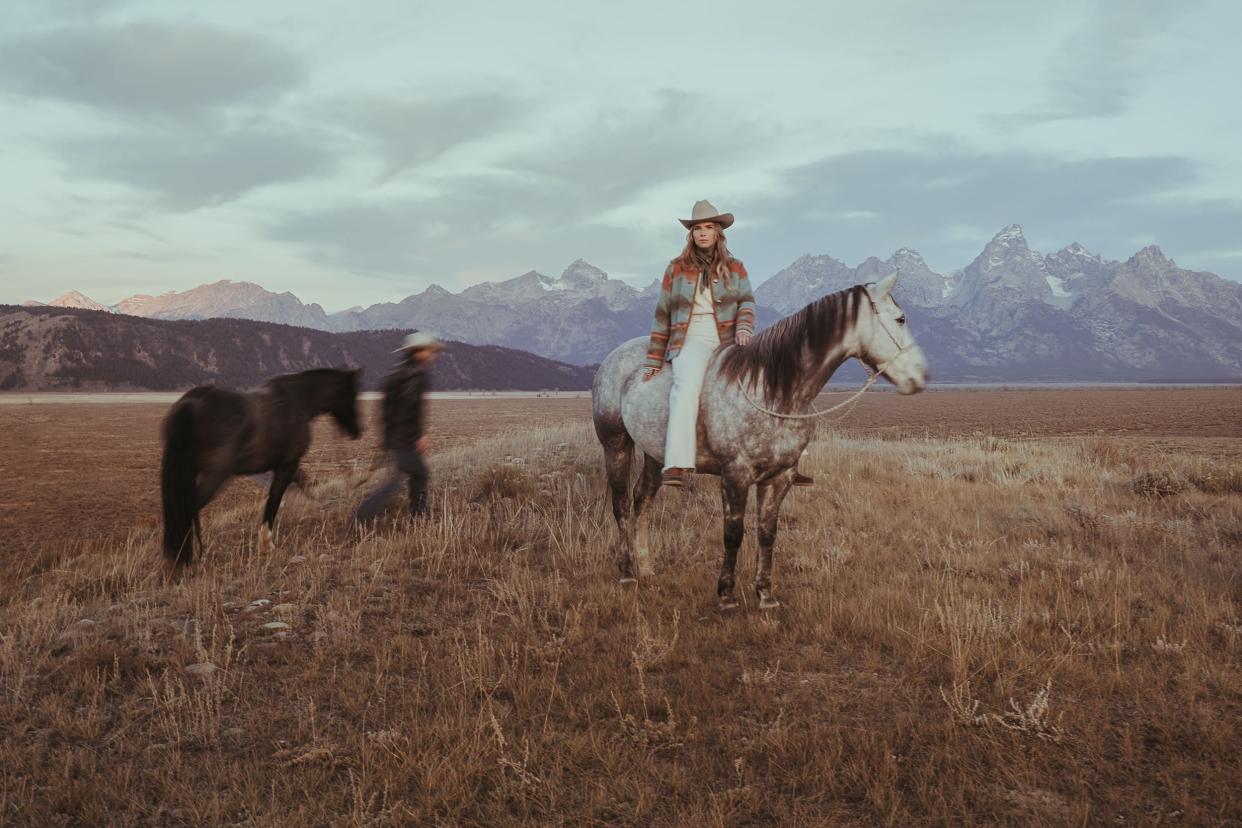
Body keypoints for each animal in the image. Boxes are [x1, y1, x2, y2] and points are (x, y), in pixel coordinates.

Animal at [160, 367, 362, 566]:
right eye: (352, 394)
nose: (356, 431)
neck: (298, 401)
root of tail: (193, 403)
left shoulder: (288, 465)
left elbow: (305, 485)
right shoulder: (288, 465)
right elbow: (274, 500)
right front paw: (266, 543)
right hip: (215, 474)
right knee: (189, 507)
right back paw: (188, 554)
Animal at [593, 273, 933, 608]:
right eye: (901, 318)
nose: (922, 376)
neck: (773, 389)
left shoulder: (779, 478)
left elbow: (767, 533)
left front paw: (765, 595)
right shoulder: (735, 475)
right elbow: (733, 533)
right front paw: (726, 595)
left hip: (655, 455)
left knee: (642, 501)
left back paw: (646, 567)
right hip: (616, 445)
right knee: (622, 505)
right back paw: (627, 573)